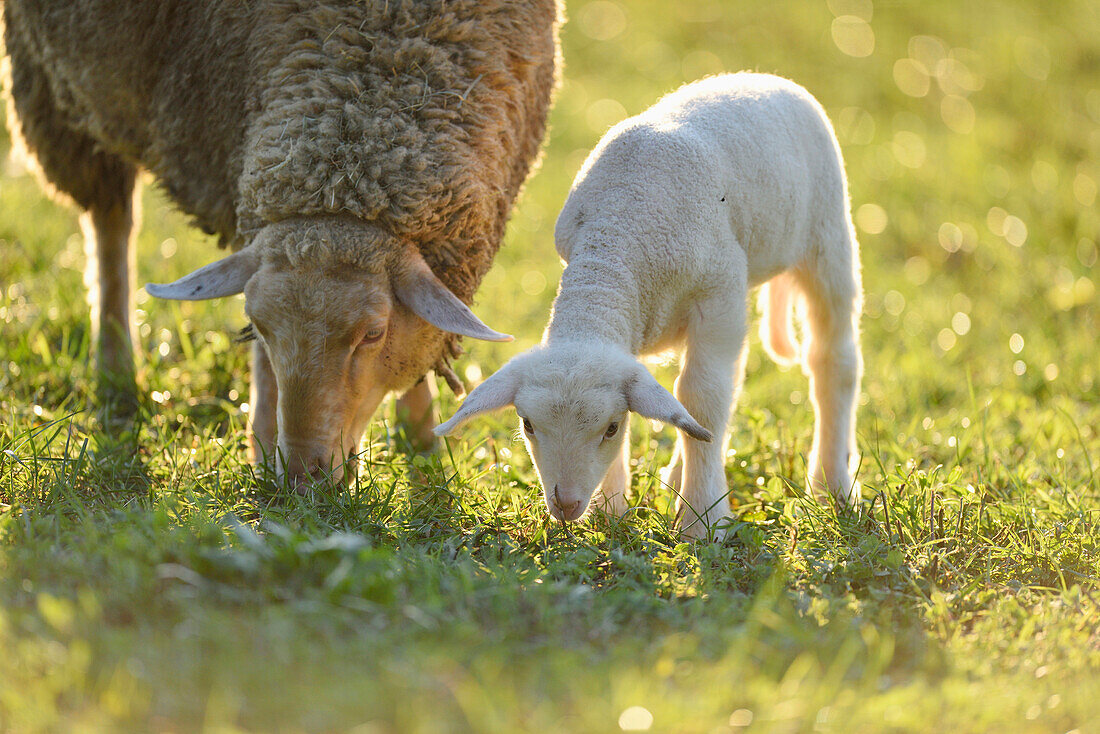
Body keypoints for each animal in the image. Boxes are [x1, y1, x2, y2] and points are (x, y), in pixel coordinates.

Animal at [2, 0, 558, 484]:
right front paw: (264, 444)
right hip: (56, 94)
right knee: (111, 223)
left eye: (373, 334)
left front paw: (423, 442)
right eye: (257, 326)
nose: (301, 479)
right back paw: (116, 371)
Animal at [433, 74, 862, 539]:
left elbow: (703, 397)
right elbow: (686, 404)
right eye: (528, 425)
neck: (618, 235)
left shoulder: (720, 289)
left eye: (611, 428)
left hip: (827, 236)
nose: (565, 504)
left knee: (832, 361)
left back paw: (832, 486)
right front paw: (611, 510)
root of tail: (763, 77)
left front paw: (703, 520)